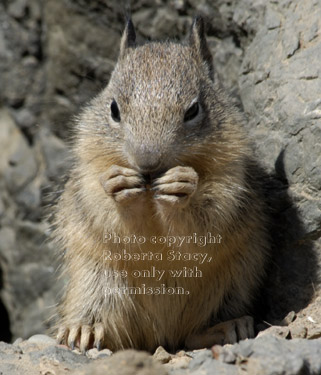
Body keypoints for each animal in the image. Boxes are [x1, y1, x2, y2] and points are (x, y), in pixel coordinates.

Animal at [53, 16, 268, 354]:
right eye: (113, 109)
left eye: (193, 110)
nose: (148, 162)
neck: (151, 195)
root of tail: (161, 337)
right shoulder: (87, 179)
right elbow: (106, 212)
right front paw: (117, 186)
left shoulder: (233, 181)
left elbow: (210, 217)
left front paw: (183, 186)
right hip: (94, 280)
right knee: (112, 331)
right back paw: (82, 329)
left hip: (234, 283)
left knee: (191, 335)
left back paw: (224, 327)